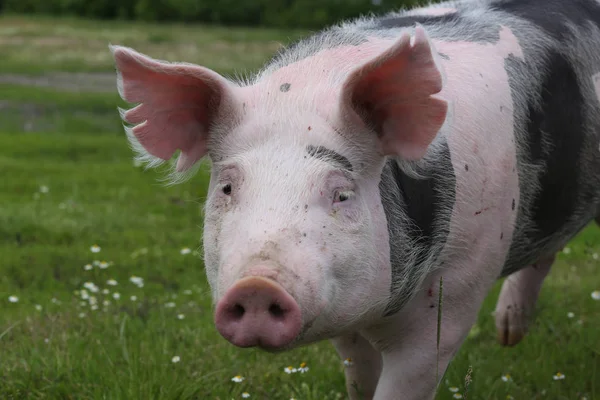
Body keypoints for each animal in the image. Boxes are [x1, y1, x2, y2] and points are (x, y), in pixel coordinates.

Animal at [109, 0, 600, 398]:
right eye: (228, 188)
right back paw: (508, 336)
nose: (257, 286)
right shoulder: (345, 318)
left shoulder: (459, 287)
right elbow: (360, 378)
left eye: (341, 193)